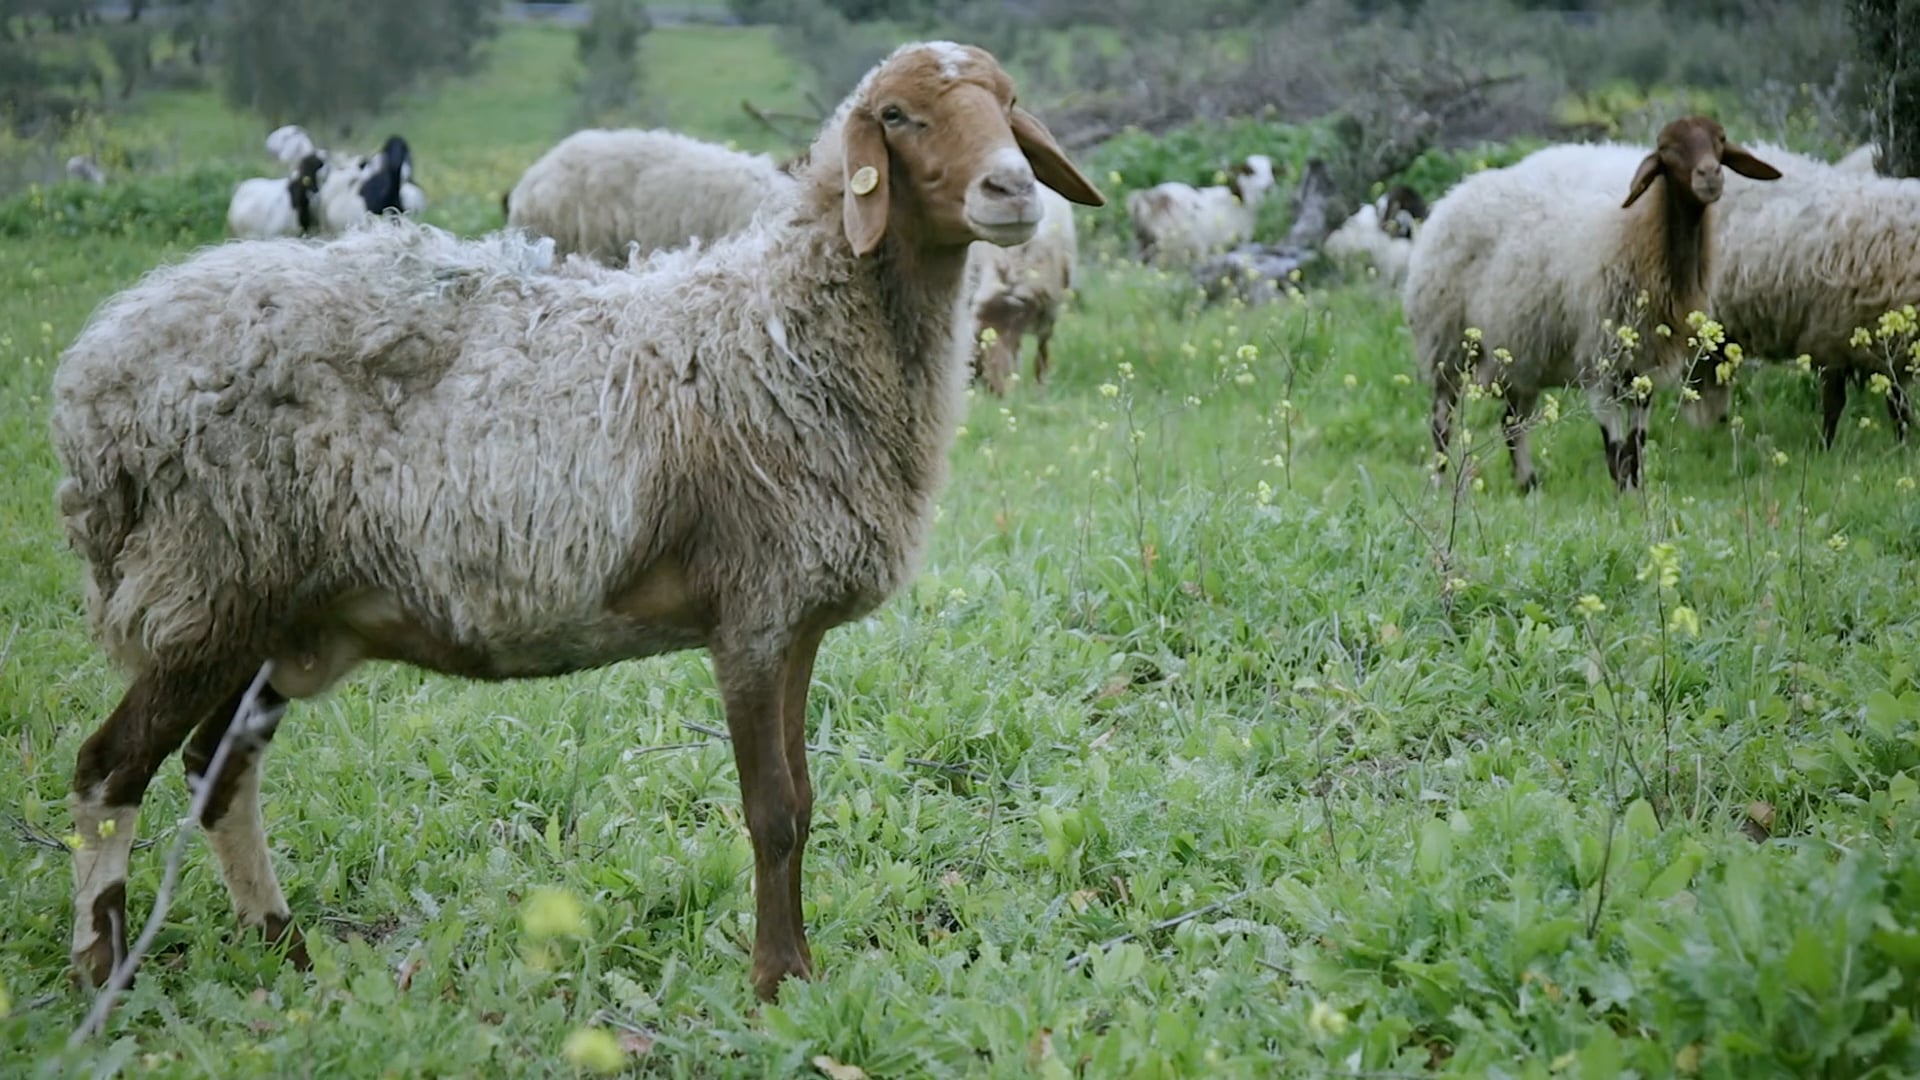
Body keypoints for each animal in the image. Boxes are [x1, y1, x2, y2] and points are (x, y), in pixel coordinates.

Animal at [1126, 154, 1277, 266]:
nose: (1269, 186)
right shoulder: (1239, 240)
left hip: (1143, 242)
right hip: (1170, 244)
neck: (1239, 202)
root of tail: (1147, 198)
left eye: (1272, 170)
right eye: (1250, 171)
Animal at [1404, 116, 1780, 492]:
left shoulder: (1643, 369)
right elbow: (1615, 453)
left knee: (1512, 423)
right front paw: (1622, 498)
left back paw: (1529, 485)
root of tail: (1454, 194)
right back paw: (1440, 484)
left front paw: (1636, 495)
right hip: (1448, 346)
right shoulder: (1600, 364)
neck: (1643, 238)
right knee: (1441, 421)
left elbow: (1636, 446)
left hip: (1520, 356)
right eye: (1667, 150)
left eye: (1720, 141)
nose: (1710, 175)